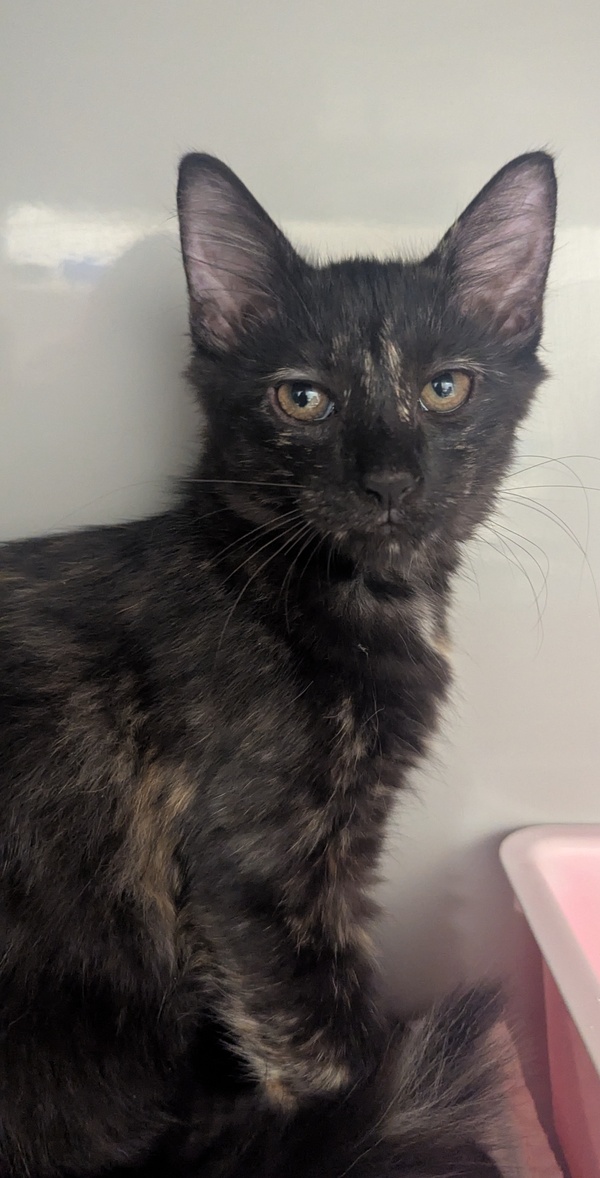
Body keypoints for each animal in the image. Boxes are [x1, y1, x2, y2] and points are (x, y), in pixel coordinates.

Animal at [0, 148, 556, 1177]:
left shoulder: (343, 858)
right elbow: (337, 1064)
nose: (389, 480)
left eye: (446, 388)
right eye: (303, 397)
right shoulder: (258, 886)